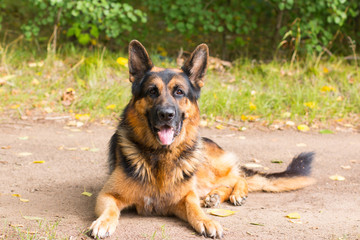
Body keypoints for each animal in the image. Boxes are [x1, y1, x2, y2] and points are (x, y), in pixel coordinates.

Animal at [88, 40, 314, 238]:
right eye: (152, 91)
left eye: (179, 92)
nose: (166, 114)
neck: (161, 155)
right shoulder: (107, 195)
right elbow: (110, 210)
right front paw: (103, 223)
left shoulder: (186, 197)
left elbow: (194, 208)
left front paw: (207, 221)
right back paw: (215, 197)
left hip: (205, 170)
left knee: (238, 177)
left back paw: (235, 193)